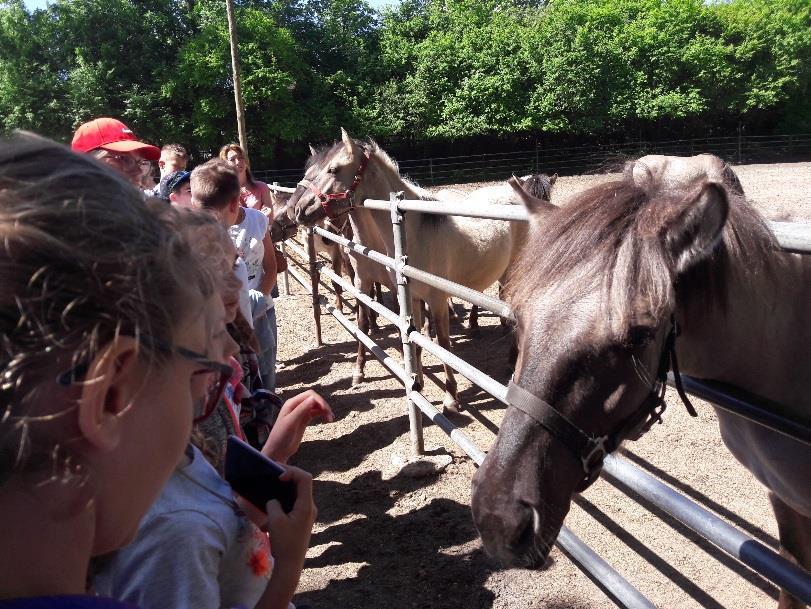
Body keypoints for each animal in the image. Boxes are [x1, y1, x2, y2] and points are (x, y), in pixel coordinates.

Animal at [288, 129, 556, 414]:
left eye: (334, 169)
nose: (297, 210)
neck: (415, 232)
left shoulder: (437, 299)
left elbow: (443, 344)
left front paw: (451, 398)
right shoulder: (412, 297)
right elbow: (412, 337)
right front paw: (416, 381)